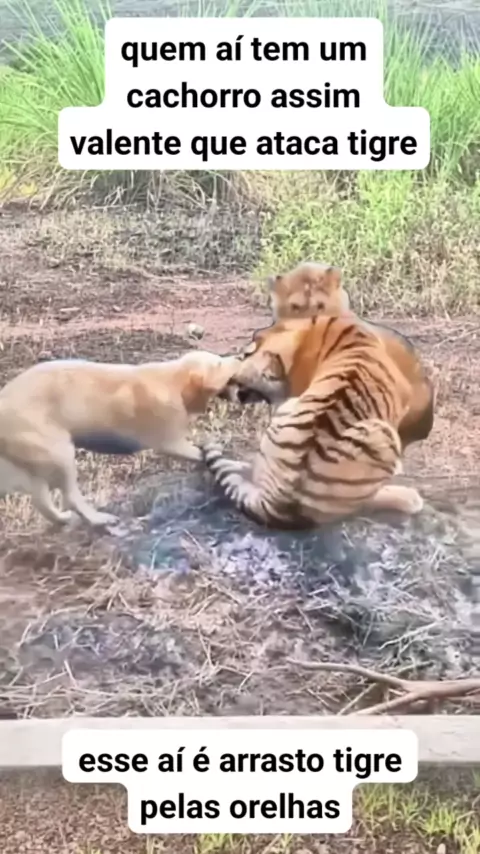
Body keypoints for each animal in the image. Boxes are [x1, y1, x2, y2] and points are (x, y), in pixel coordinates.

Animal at [0, 350, 240, 528]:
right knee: (70, 497)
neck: (172, 381)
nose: (240, 357)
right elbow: (196, 452)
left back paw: (62, 519)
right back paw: (99, 519)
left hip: (37, 461)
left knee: (41, 500)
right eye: (219, 363)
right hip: (58, 452)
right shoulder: (169, 441)